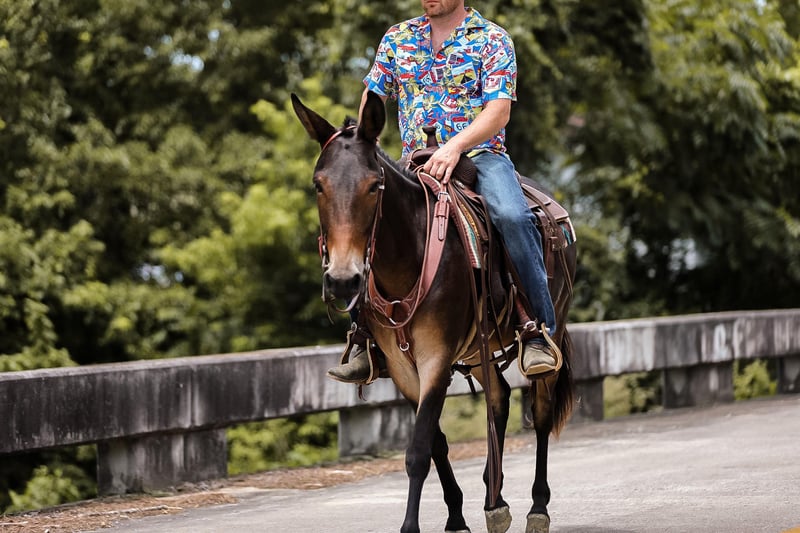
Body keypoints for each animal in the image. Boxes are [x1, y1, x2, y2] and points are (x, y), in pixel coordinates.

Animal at [292, 90, 577, 533]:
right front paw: (457, 517)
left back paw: (537, 508)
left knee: (542, 414)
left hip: (551, 328)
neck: (404, 262)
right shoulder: (403, 368)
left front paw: (413, 526)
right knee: (499, 399)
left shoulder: (437, 359)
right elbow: (436, 444)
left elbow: (418, 450)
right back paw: (494, 501)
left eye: (374, 186)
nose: (342, 279)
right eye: (318, 185)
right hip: (478, 349)